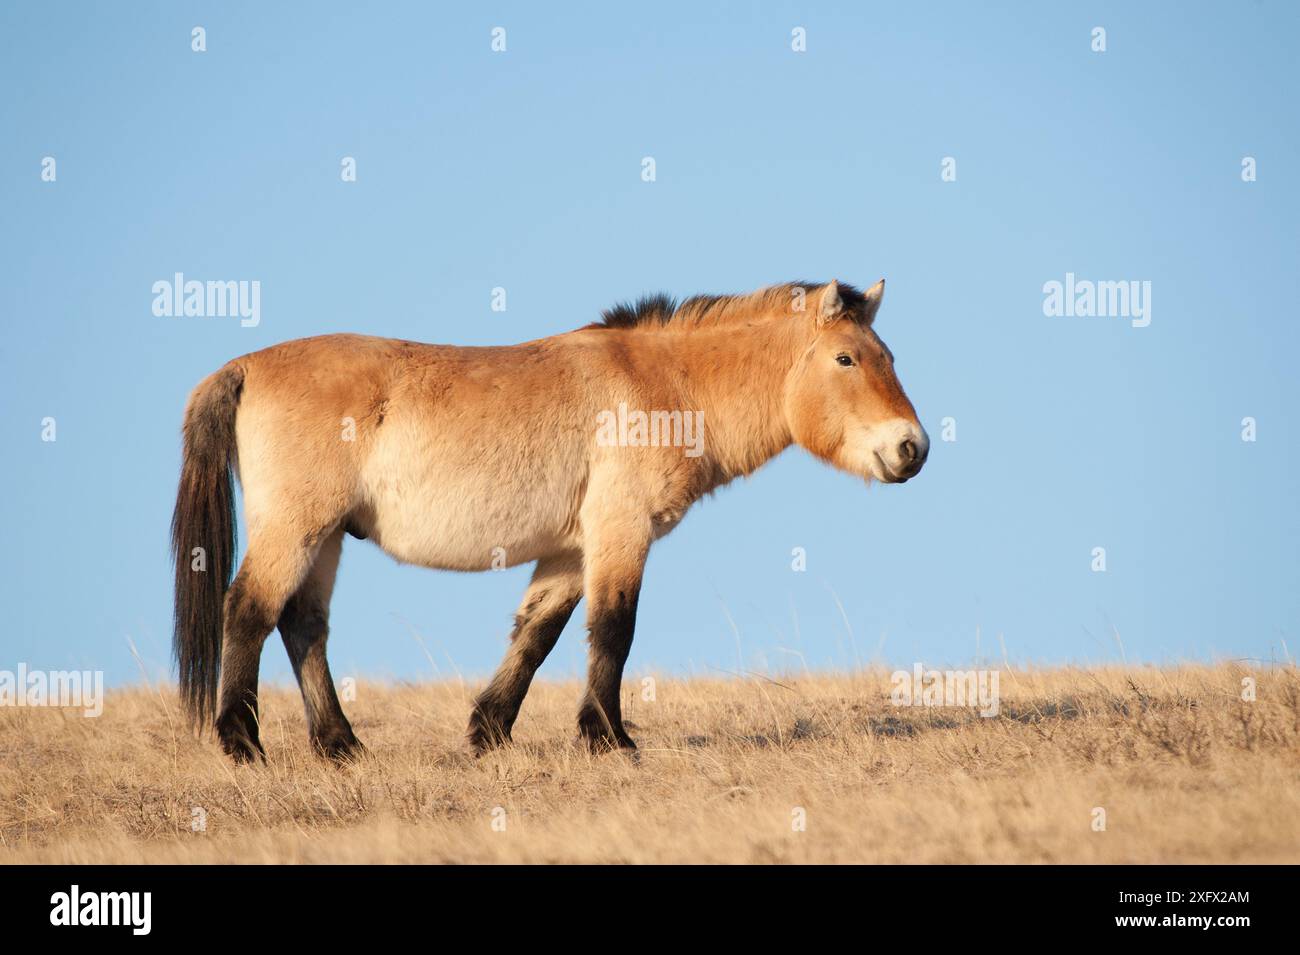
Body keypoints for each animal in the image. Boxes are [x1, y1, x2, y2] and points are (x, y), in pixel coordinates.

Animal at [170, 278, 925, 764]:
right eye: (846, 358)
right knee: (249, 609)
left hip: (324, 537)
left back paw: (341, 746)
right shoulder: (622, 532)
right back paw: (242, 742)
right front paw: (611, 740)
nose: (911, 448)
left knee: (303, 625)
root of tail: (245, 365)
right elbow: (613, 630)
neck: (665, 385)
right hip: (296, 529)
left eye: (890, 356)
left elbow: (537, 635)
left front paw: (489, 732)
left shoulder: (569, 549)